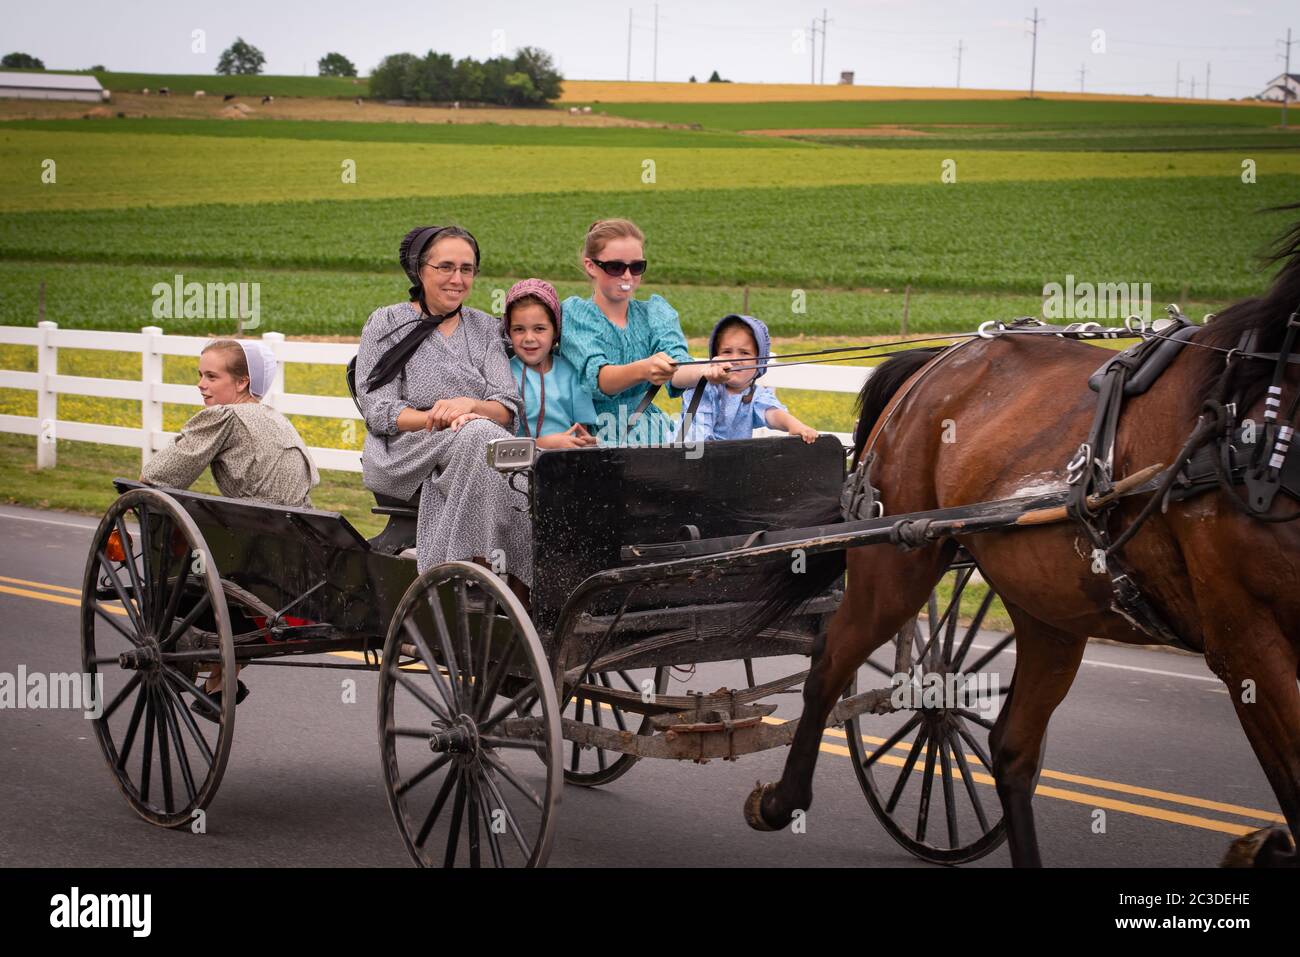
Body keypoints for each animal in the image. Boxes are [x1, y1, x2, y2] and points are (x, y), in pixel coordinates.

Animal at [743, 209, 1300, 868]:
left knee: (1011, 744)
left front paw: (1264, 846)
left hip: (1050, 608)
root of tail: (937, 362)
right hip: (894, 563)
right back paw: (781, 801)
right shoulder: (1244, 641)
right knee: (832, 660)